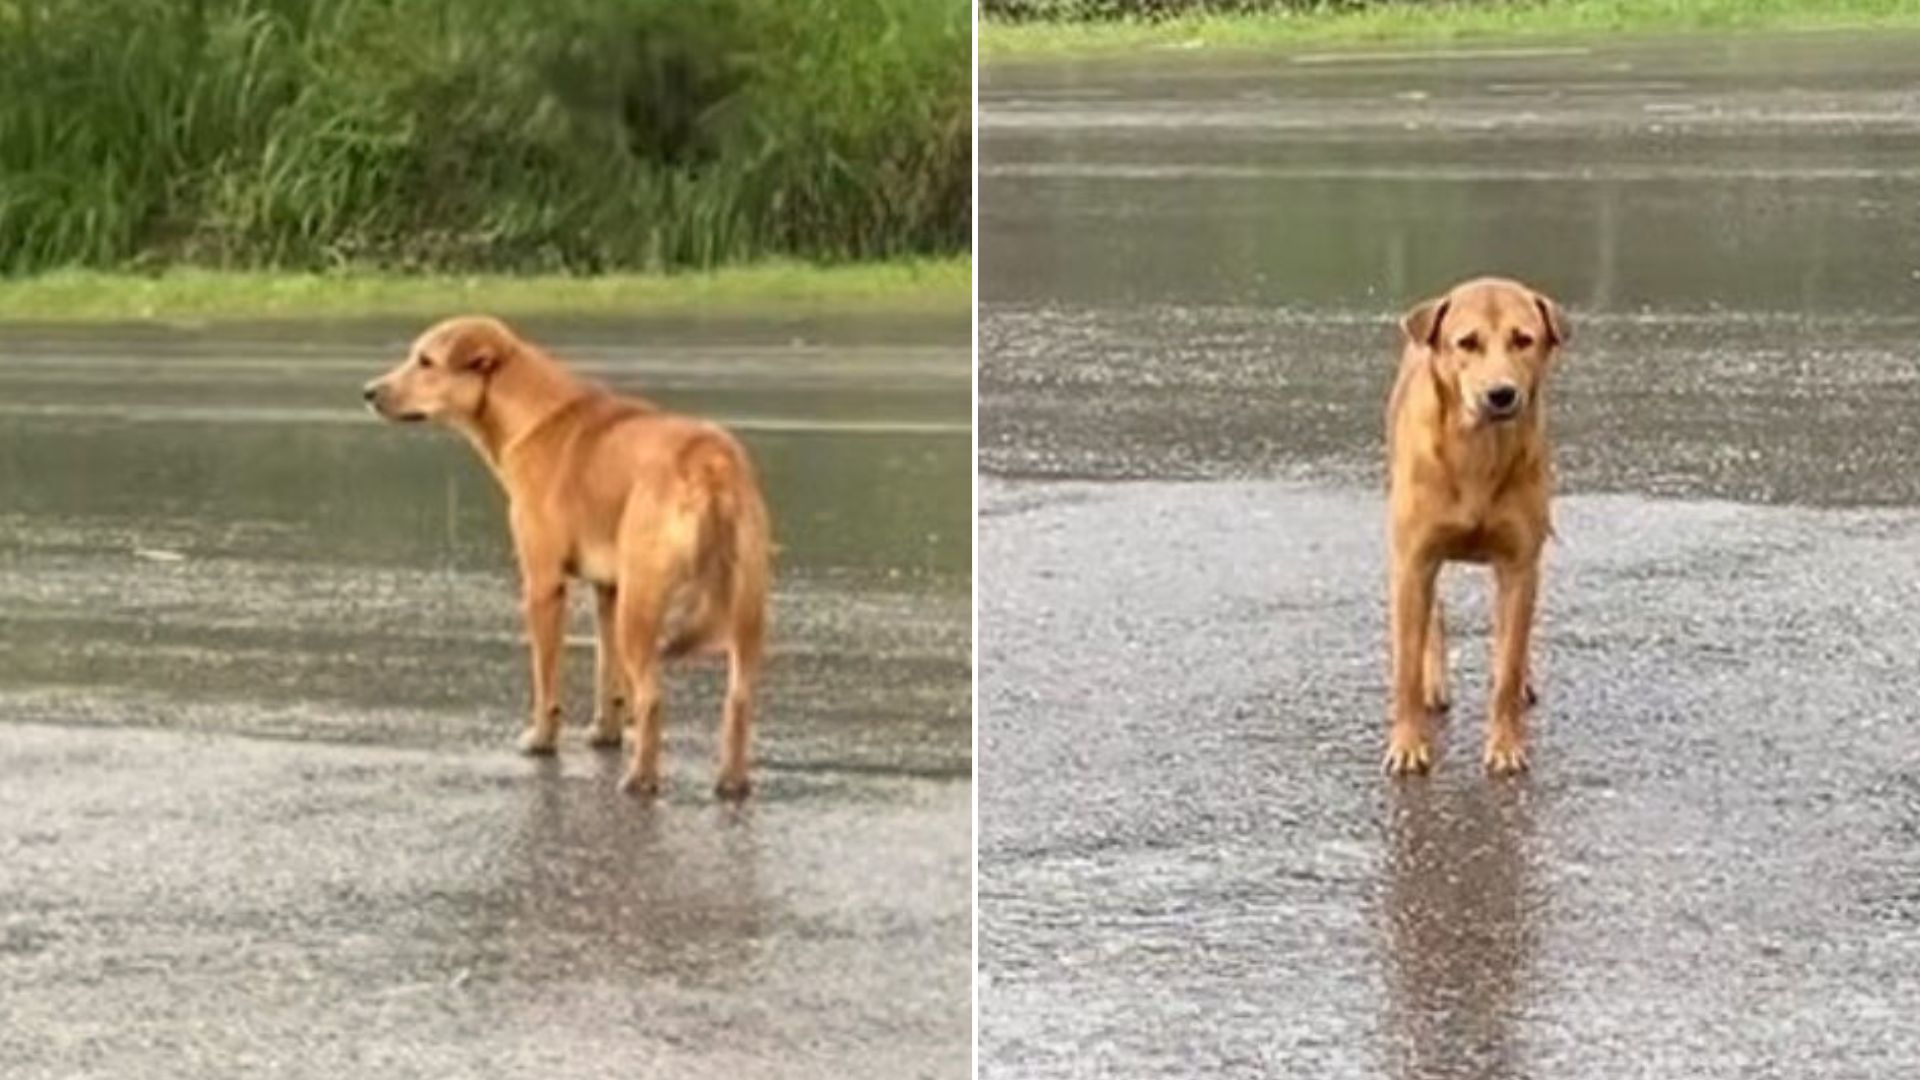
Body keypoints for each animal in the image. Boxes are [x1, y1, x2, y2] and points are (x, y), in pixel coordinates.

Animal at [362, 315, 768, 795]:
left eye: (426, 362)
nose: (368, 392)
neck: (533, 415)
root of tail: (709, 462)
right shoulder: (608, 590)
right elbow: (607, 676)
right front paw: (606, 733)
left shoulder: (543, 583)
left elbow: (546, 681)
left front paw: (542, 740)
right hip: (743, 609)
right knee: (738, 699)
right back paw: (731, 781)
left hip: (642, 605)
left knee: (652, 698)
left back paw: (641, 778)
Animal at [1390, 276, 1566, 772]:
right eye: (1467, 342)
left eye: (1523, 339)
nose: (1501, 394)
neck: (1479, 454)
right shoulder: (1414, 561)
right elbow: (1405, 667)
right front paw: (1407, 744)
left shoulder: (1519, 565)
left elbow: (1507, 664)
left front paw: (1505, 745)